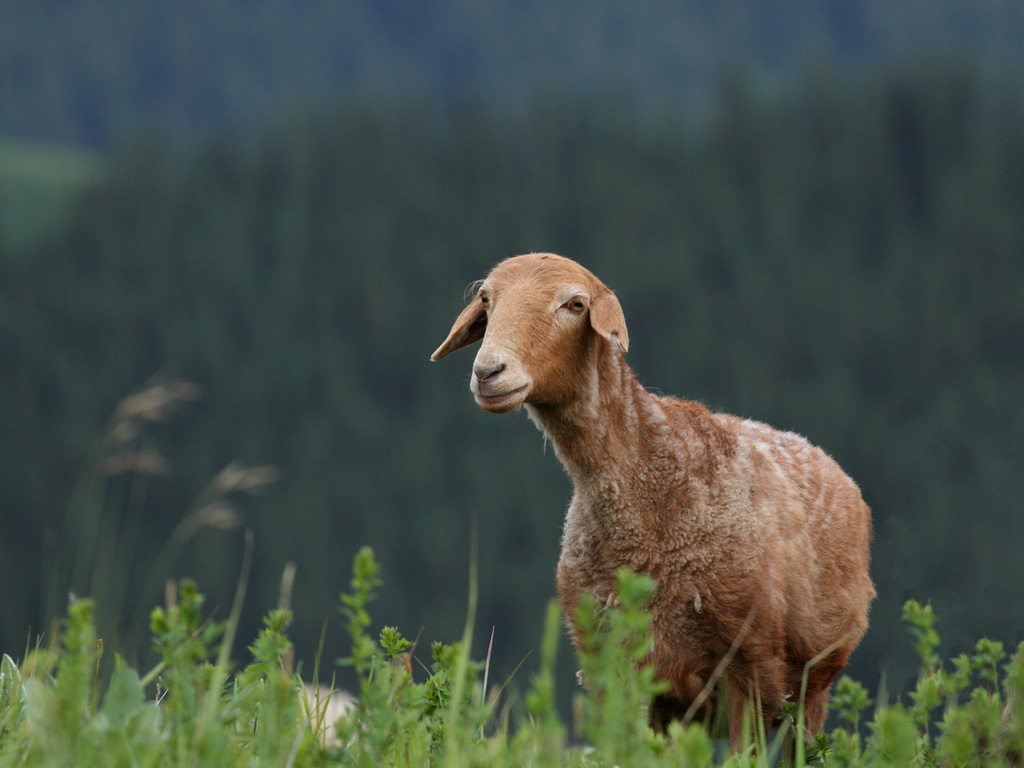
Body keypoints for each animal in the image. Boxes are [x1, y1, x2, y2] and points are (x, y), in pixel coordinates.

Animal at [428, 256, 876, 749]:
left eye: (575, 304)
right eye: (487, 298)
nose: (488, 372)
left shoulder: (753, 666)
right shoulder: (618, 667)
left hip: (814, 685)